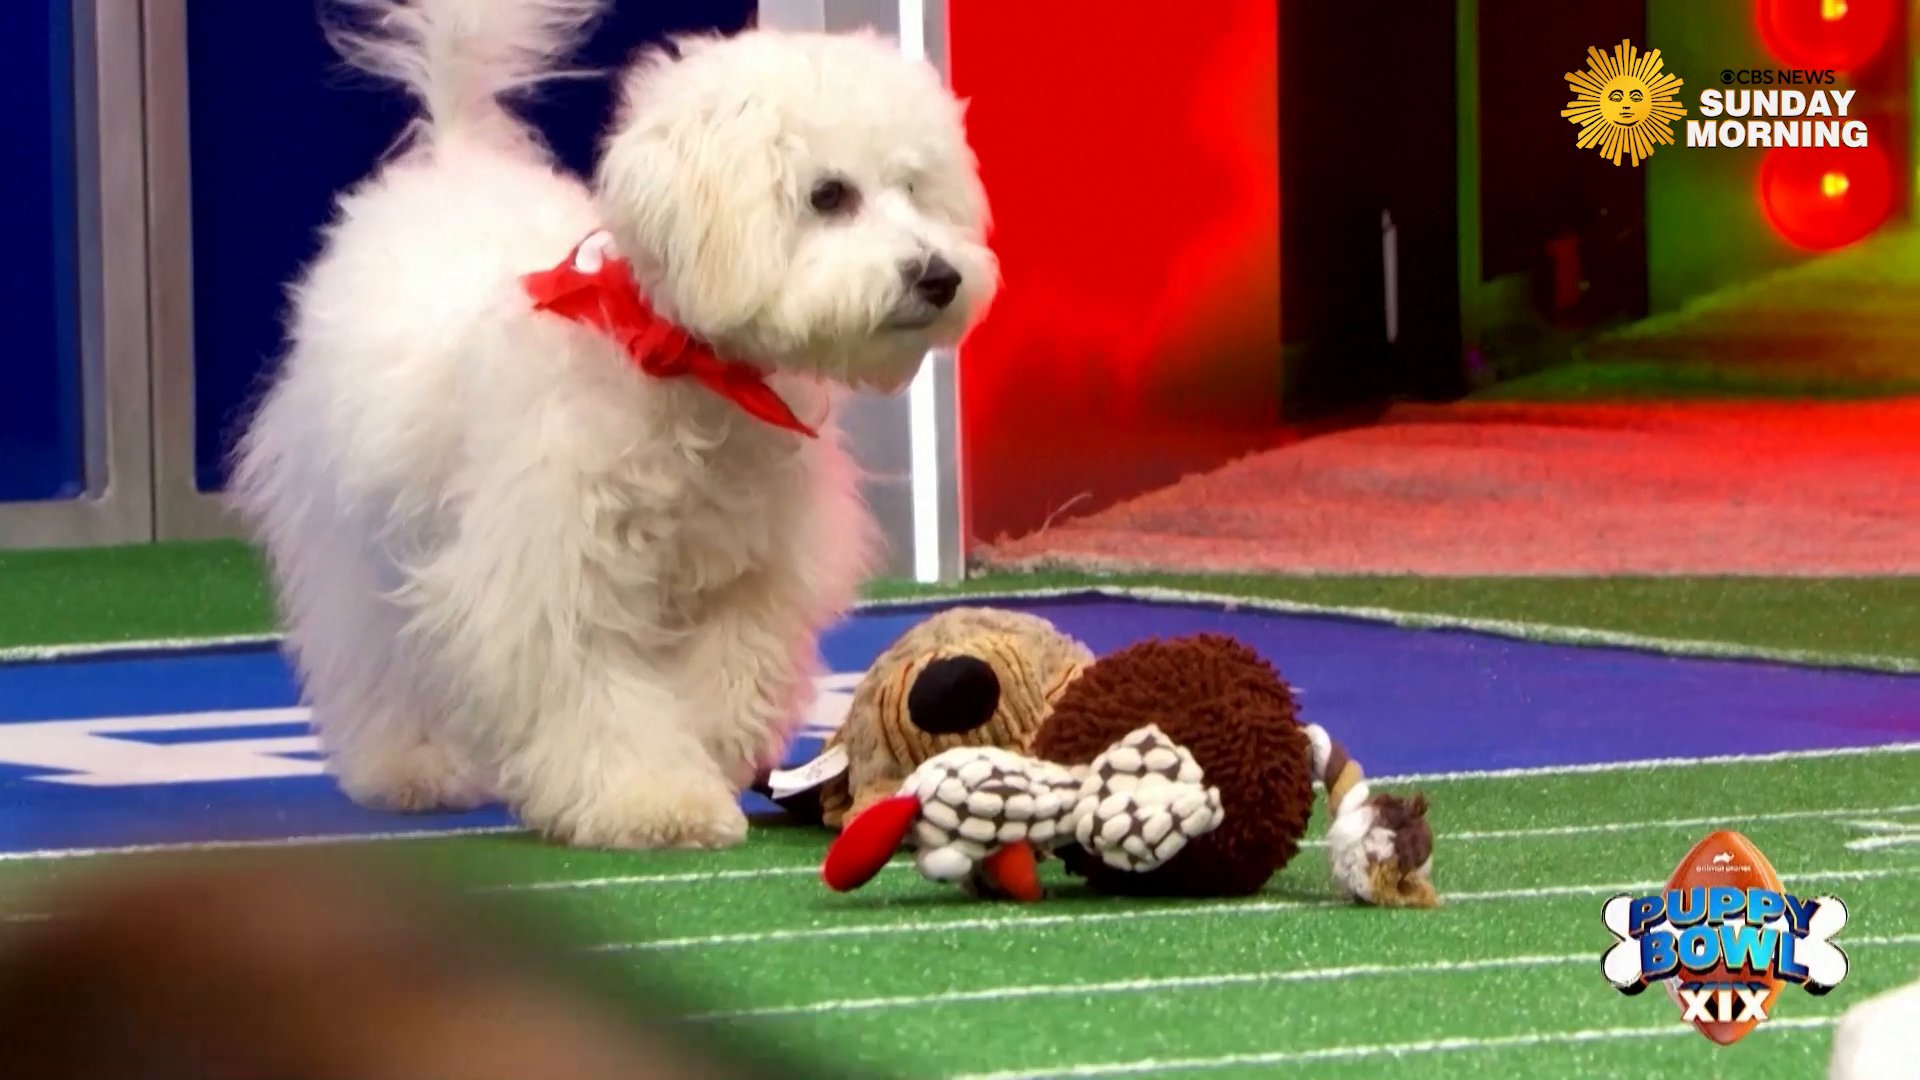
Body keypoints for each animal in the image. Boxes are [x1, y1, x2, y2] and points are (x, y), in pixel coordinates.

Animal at [232, 0, 998, 845]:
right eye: (828, 195)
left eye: (915, 189)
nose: (940, 276)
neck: (674, 360)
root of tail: (453, 158)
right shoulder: (553, 573)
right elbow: (598, 702)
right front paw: (652, 801)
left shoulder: (752, 574)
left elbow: (728, 676)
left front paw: (703, 755)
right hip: (359, 531)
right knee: (375, 649)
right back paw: (411, 765)